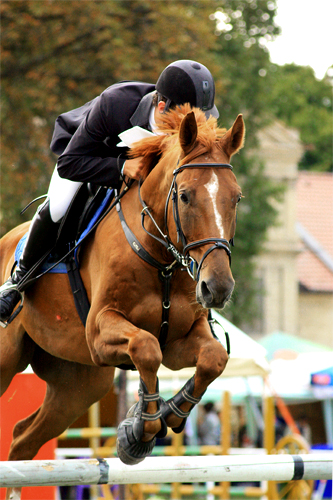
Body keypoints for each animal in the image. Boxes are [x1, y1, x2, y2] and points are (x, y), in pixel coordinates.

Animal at [0, 104, 244, 492]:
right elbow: (145, 348)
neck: (161, 260)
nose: (217, 288)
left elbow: (213, 358)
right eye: (185, 195)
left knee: (24, 439)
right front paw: (138, 433)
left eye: (236, 198)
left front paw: (171, 413)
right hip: (9, 359)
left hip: (79, 386)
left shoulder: (180, 341)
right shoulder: (101, 331)